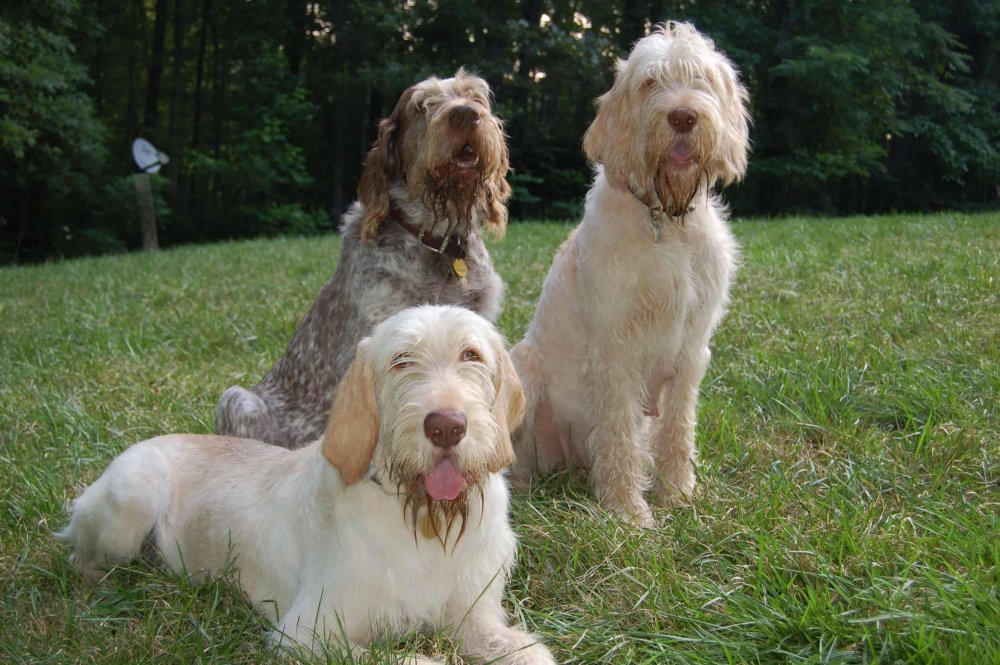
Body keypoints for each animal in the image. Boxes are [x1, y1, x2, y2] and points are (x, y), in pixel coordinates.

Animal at [56, 306, 556, 664]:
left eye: (471, 355)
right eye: (401, 361)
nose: (447, 427)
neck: (424, 524)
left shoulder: (476, 614)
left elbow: (529, 652)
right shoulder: (306, 633)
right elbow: (407, 659)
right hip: (132, 495)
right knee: (79, 555)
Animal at [512, 23, 748, 528]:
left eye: (700, 78)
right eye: (650, 82)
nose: (683, 117)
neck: (664, 220)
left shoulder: (692, 346)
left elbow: (678, 425)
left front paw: (677, 492)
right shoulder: (616, 346)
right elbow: (619, 428)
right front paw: (627, 511)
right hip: (521, 370)